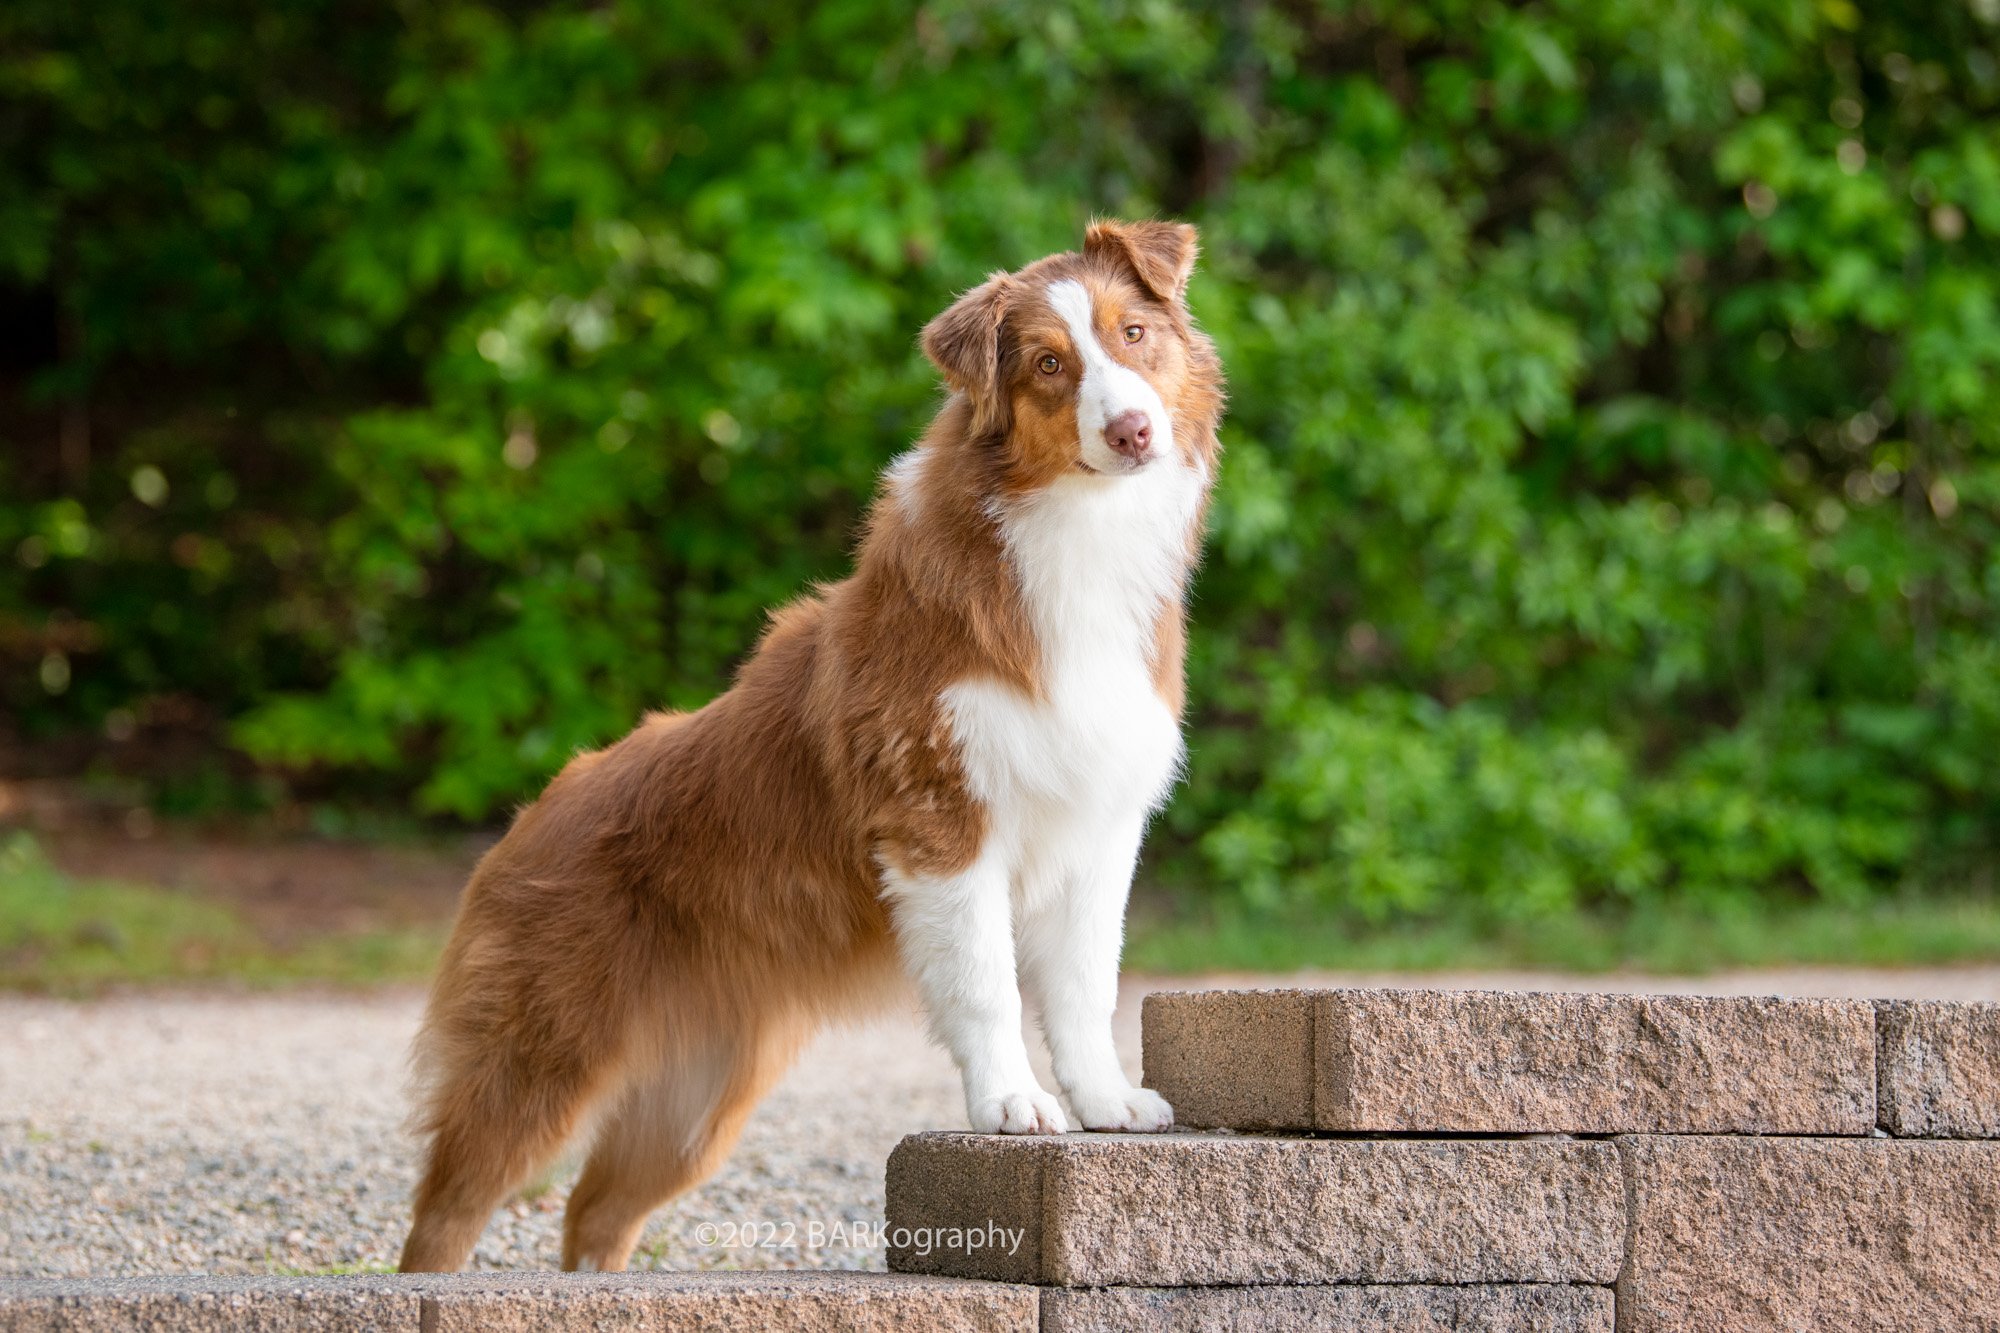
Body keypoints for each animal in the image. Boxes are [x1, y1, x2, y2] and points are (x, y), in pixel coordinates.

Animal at [398, 218, 1224, 1264]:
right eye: (1048, 363)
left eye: (1134, 334)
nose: (1132, 432)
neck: (1074, 533)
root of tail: (534, 807)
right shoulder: (938, 820)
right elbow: (988, 982)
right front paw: (1011, 1103)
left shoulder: (1099, 828)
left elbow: (1085, 984)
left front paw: (1106, 1099)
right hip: (543, 1051)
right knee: (448, 1208)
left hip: (699, 1098)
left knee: (596, 1210)